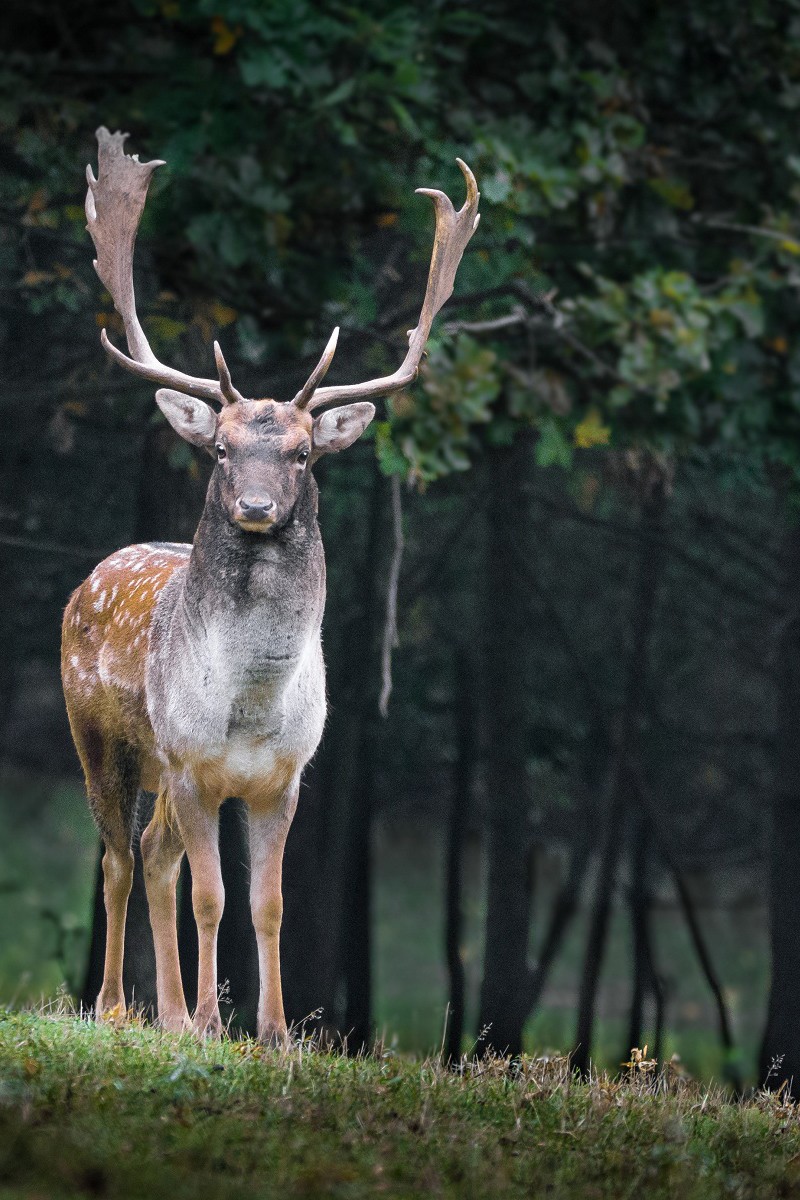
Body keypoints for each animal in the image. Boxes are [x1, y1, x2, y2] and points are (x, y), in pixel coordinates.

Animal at [62, 124, 482, 1041]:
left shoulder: (284, 778)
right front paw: (213, 1024)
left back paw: (167, 1013)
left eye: (302, 452)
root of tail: (90, 579)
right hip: (102, 739)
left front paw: (276, 1030)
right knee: (117, 858)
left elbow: (269, 903)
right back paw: (118, 1007)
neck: (251, 707)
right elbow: (212, 898)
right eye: (221, 448)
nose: (255, 506)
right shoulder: (191, 763)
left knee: (152, 855)